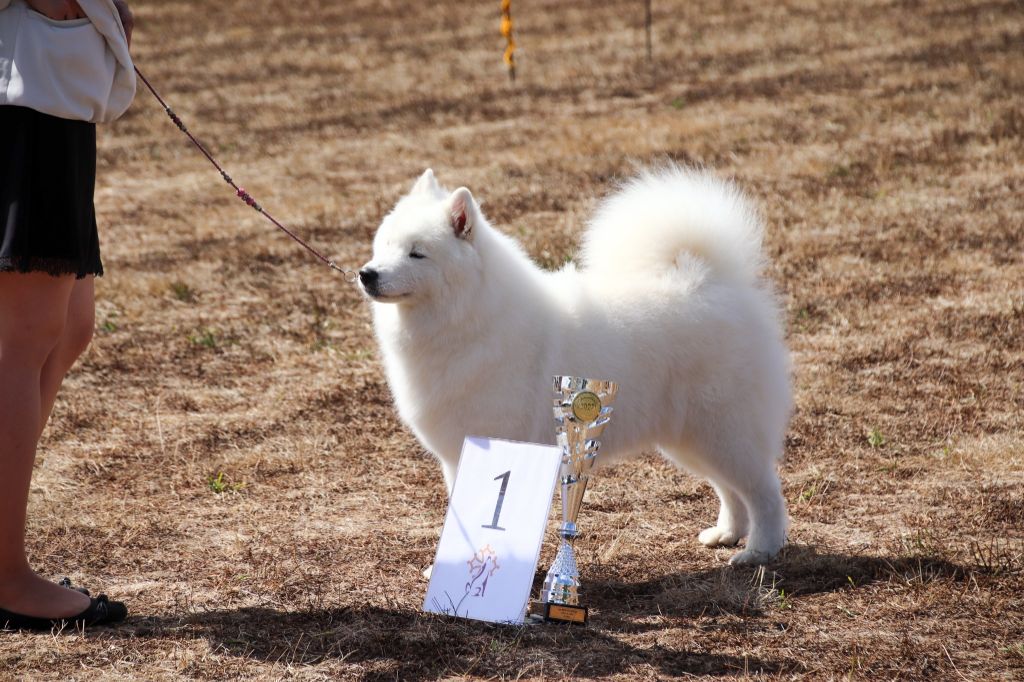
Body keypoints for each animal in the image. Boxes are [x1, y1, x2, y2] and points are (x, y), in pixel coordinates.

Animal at [360, 165, 790, 561]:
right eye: (384, 245)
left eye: (417, 253)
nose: (367, 273)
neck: (469, 319)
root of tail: (710, 279)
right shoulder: (458, 456)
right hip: (691, 439)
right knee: (730, 489)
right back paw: (728, 533)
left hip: (723, 432)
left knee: (764, 491)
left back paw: (760, 551)